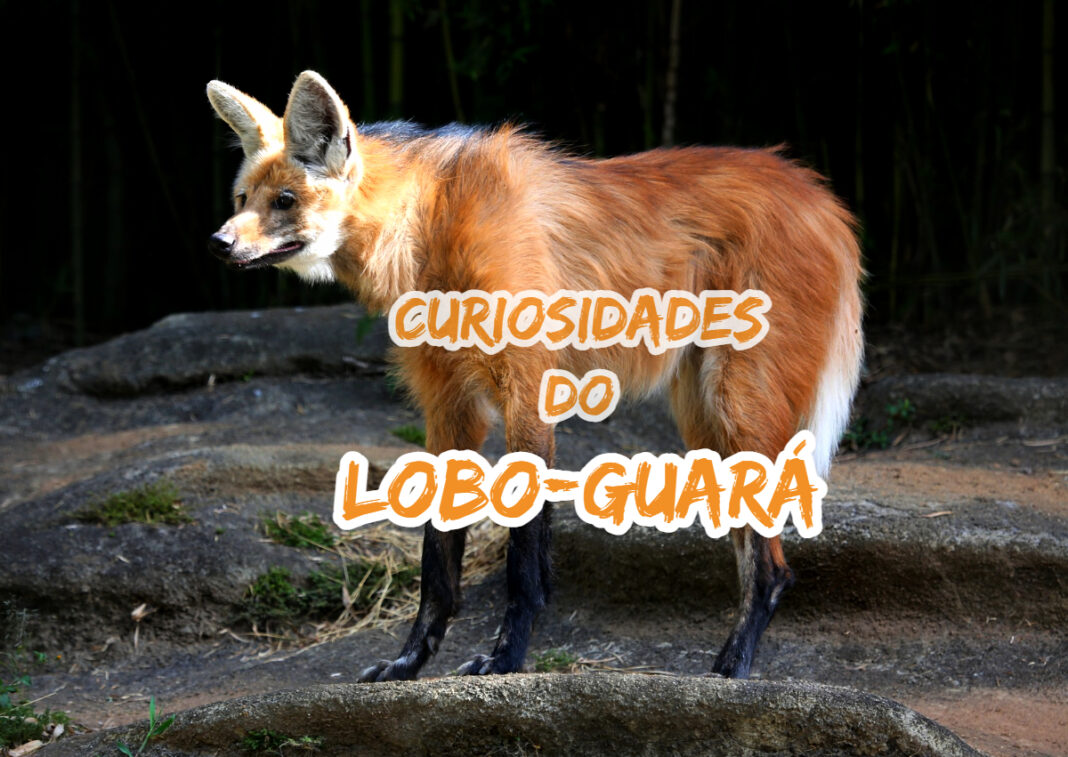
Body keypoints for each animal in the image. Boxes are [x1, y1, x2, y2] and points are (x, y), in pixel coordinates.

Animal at [207, 70, 863, 681]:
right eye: (240, 199)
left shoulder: (527, 393)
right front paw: (408, 663)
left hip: (735, 402)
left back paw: (733, 667)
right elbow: (436, 561)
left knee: (774, 568)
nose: (218, 242)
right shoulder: (449, 408)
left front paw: (505, 660)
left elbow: (523, 559)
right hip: (703, 415)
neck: (428, 228)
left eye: (285, 200)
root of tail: (819, 194)